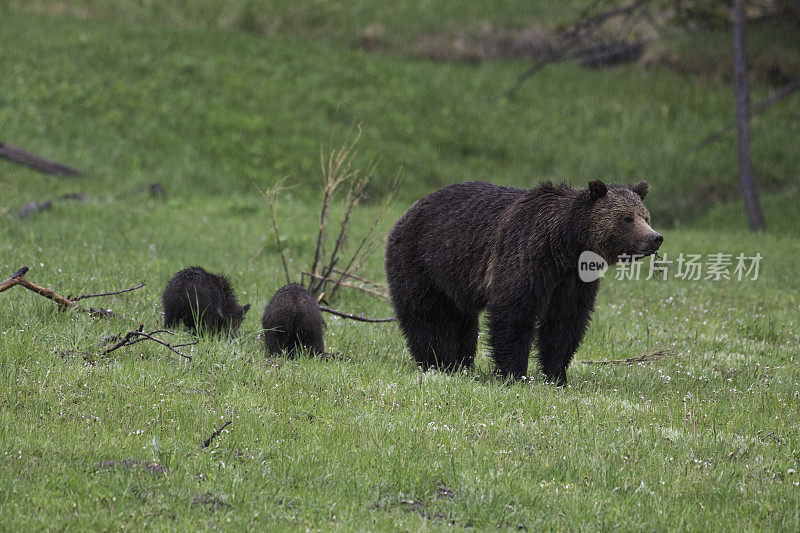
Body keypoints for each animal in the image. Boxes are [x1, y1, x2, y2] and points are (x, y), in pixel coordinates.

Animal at [384, 179, 660, 382]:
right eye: (627, 218)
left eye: (645, 216)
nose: (655, 238)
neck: (565, 245)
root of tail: (405, 213)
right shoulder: (527, 253)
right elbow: (514, 311)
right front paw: (514, 373)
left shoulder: (574, 279)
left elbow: (565, 321)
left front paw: (557, 375)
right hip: (423, 261)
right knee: (427, 316)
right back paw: (437, 361)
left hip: (455, 279)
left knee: (461, 321)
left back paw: (460, 364)